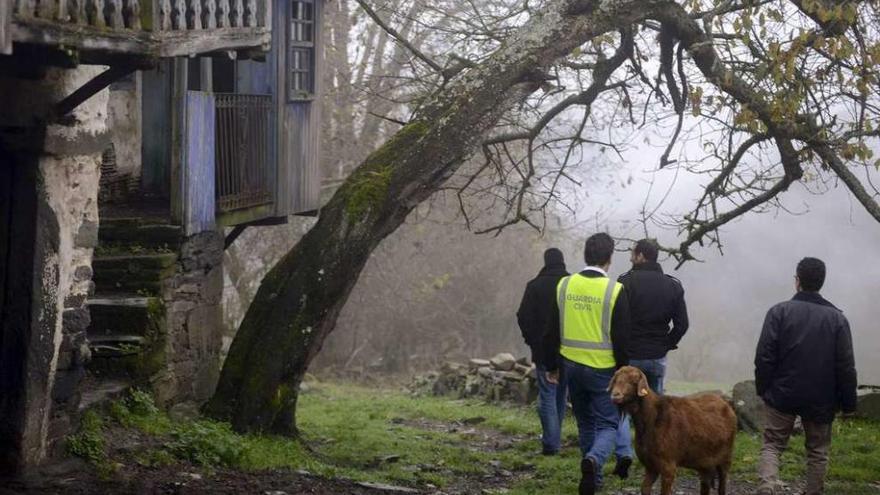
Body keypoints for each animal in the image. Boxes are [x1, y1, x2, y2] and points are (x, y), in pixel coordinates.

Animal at [608, 366, 740, 494]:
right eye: (616, 380)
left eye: (634, 381)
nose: (616, 395)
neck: (653, 416)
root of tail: (727, 405)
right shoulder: (650, 465)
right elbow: (644, 488)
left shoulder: (668, 465)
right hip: (704, 462)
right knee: (705, 484)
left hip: (726, 457)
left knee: (722, 485)